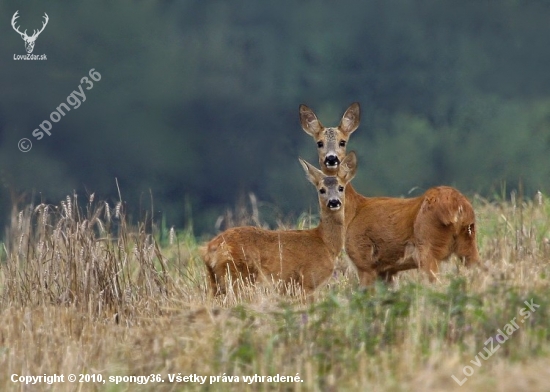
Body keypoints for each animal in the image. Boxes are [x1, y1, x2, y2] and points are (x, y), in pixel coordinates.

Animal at [201, 152, 360, 296]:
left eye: (341, 187)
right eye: (322, 189)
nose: (333, 202)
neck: (326, 243)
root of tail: (210, 249)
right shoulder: (307, 281)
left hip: (216, 281)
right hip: (238, 276)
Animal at [300, 102, 480, 284]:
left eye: (342, 142)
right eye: (319, 143)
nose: (331, 159)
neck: (353, 211)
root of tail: (458, 206)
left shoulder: (363, 259)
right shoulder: (387, 270)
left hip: (428, 246)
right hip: (468, 244)